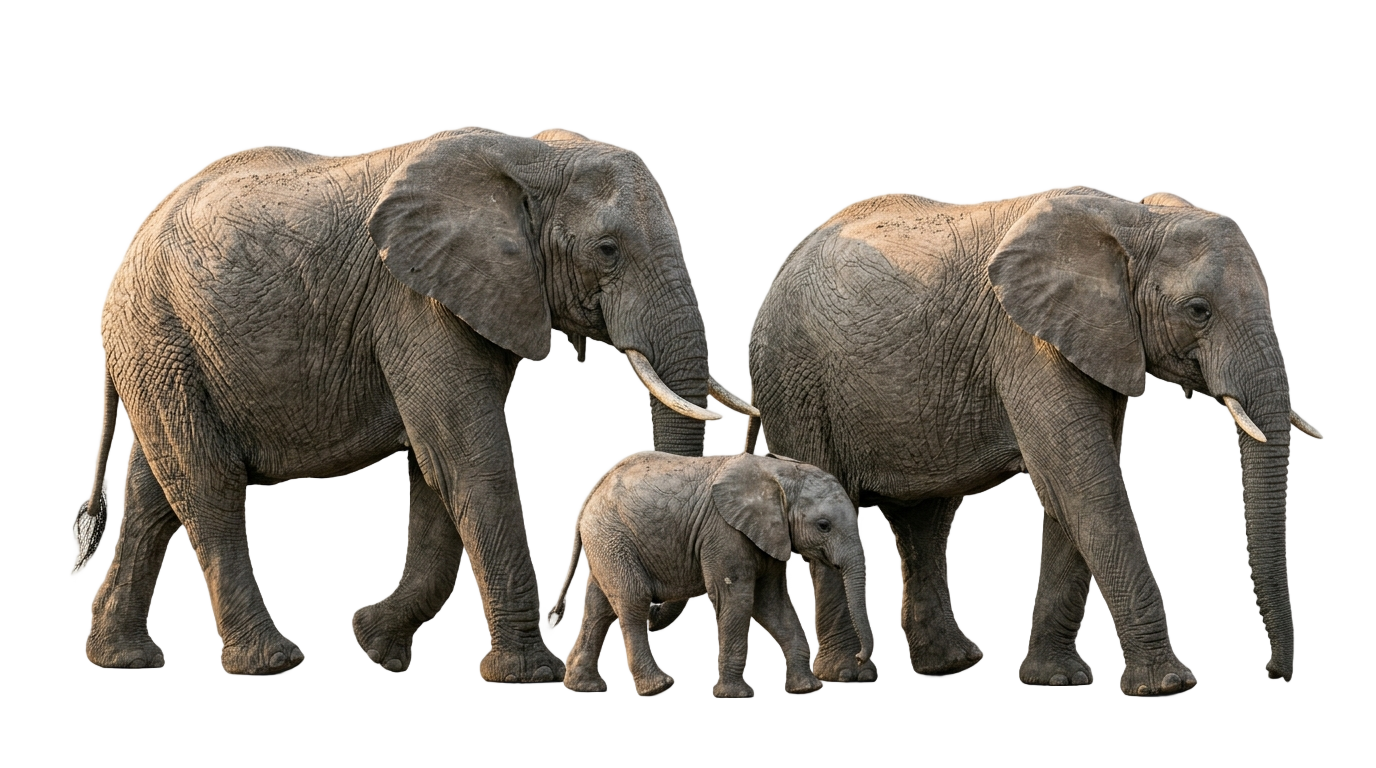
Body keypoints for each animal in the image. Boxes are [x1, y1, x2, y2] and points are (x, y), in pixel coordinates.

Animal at [74, 126, 755, 680]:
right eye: (608, 249)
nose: (662, 616)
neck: (527, 154)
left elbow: (437, 468)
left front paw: (378, 644)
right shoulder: (414, 302)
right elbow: (467, 458)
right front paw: (525, 676)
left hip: (164, 355)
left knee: (156, 493)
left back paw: (123, 660)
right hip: (160, 336)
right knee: (207, 486)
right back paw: (271, 665)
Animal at [548, 451, 871, 698]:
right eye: (823, 526)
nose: (859, 658)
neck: (777, 473)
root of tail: (591, 494)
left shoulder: (770, 536)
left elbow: (772, 605)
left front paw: (807, 688)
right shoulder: (725, 533)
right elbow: (737, 601)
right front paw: (735, 696)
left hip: (605, 541)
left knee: (599, 607)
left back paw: (585, 687)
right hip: (612, 535)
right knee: (632, 600)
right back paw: (659, 688)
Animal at [746, 188, 1321, 695]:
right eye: (1199, 310)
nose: (1272, 676)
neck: (1129, 219)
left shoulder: (1093, 340)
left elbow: (1065, 491)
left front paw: (1055, 681)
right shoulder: (1028, 342)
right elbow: (1085, 486)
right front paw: (1166, 687)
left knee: (925, 520)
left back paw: (950, 664)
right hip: (794, 376)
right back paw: (850, 676)